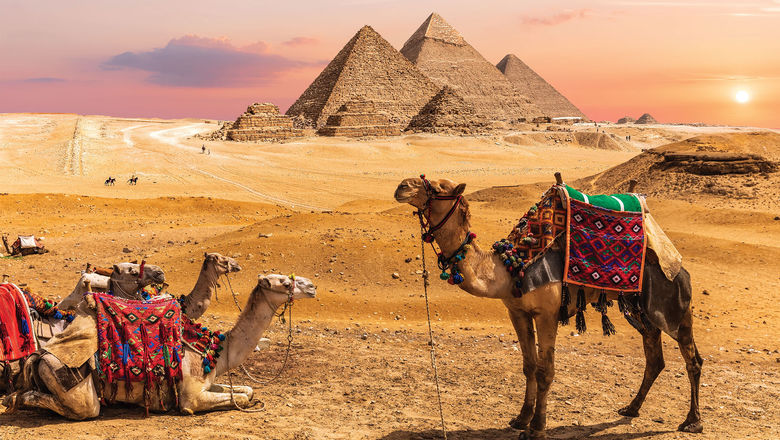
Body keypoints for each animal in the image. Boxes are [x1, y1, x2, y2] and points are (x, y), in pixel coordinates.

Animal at [4, 273, 316, 419]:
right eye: (284, 282)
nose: (312, 286)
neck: (218, 351)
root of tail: (39, 356)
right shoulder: (191, 395)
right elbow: (227, 399)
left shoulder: (207, 381)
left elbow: (246, 391)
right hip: (72, 382)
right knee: (81, 407)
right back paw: (14, 400)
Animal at [394, 176, 702, 439]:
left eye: (439, 187)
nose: (402, 186)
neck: (510, 268)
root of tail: (678, 262)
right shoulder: (517, 311)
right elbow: (529, 366)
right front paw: (521, 419)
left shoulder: (548, 314)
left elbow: (546, 371)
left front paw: (537, 428)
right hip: (640, 310)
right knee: (654, 357)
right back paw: (631, 408)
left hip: (673, 304)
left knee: (692, 358)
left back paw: (692, 422)